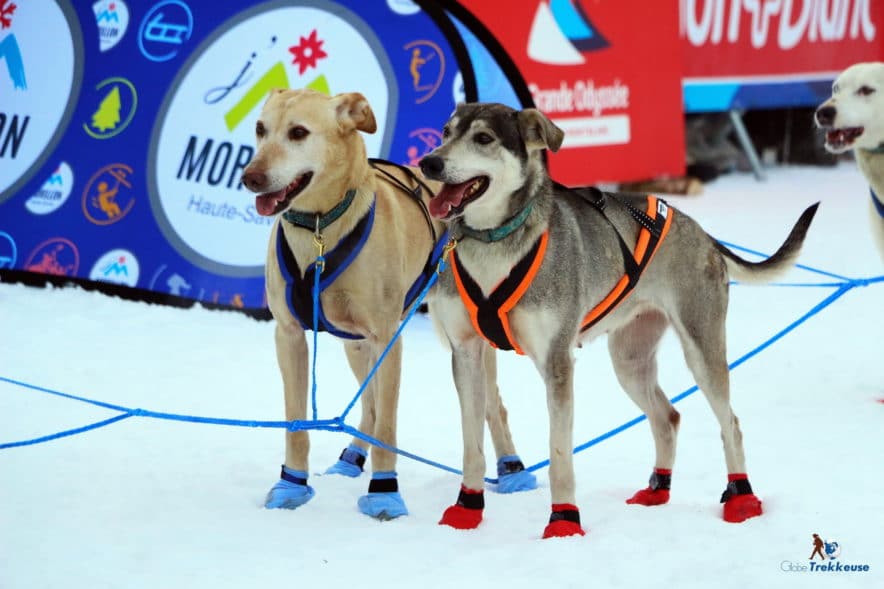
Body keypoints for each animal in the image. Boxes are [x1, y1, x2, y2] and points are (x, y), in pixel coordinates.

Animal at [238, 88, 536, 520]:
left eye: (298, 132)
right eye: (261, 129)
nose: (251, 178)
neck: (321, 229)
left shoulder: (388, 339)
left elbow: (388, 426)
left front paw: (384, 493)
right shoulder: (290, 336)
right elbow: (297, 424)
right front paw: (291, 485)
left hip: (468, 343)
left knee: (493, 406)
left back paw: (513, 471)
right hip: (354, 343)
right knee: (369, 403)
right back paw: (352, 455)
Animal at [418, 102, 820, 536]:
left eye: (483, 138)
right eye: (445, 132)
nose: (429, 162)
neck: (494, 243)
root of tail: (703, 234)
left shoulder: (557, 363)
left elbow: (559, 455)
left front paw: (563, 521)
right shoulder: (466, 354)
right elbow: (471, 446)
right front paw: (467, 509)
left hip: (702, 352)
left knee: (731, 423)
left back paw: (742, 498)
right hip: (629, 362)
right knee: (668, 417)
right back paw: (657, 489)